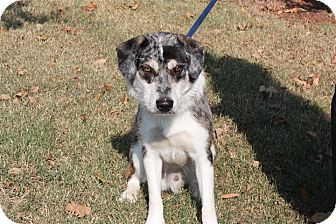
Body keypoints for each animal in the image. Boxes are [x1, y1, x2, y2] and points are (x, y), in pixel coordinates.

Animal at [115, 32, 218, 224]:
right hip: (137, 150)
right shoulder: (150, 154)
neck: (168, 119)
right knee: (135, 176)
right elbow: (154, 196)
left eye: (177, 68)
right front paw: (154, 219)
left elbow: (209, 203)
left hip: (212, 150)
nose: (164, 104)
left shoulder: (203, 153)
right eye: (147, 69)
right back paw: (130, 193)